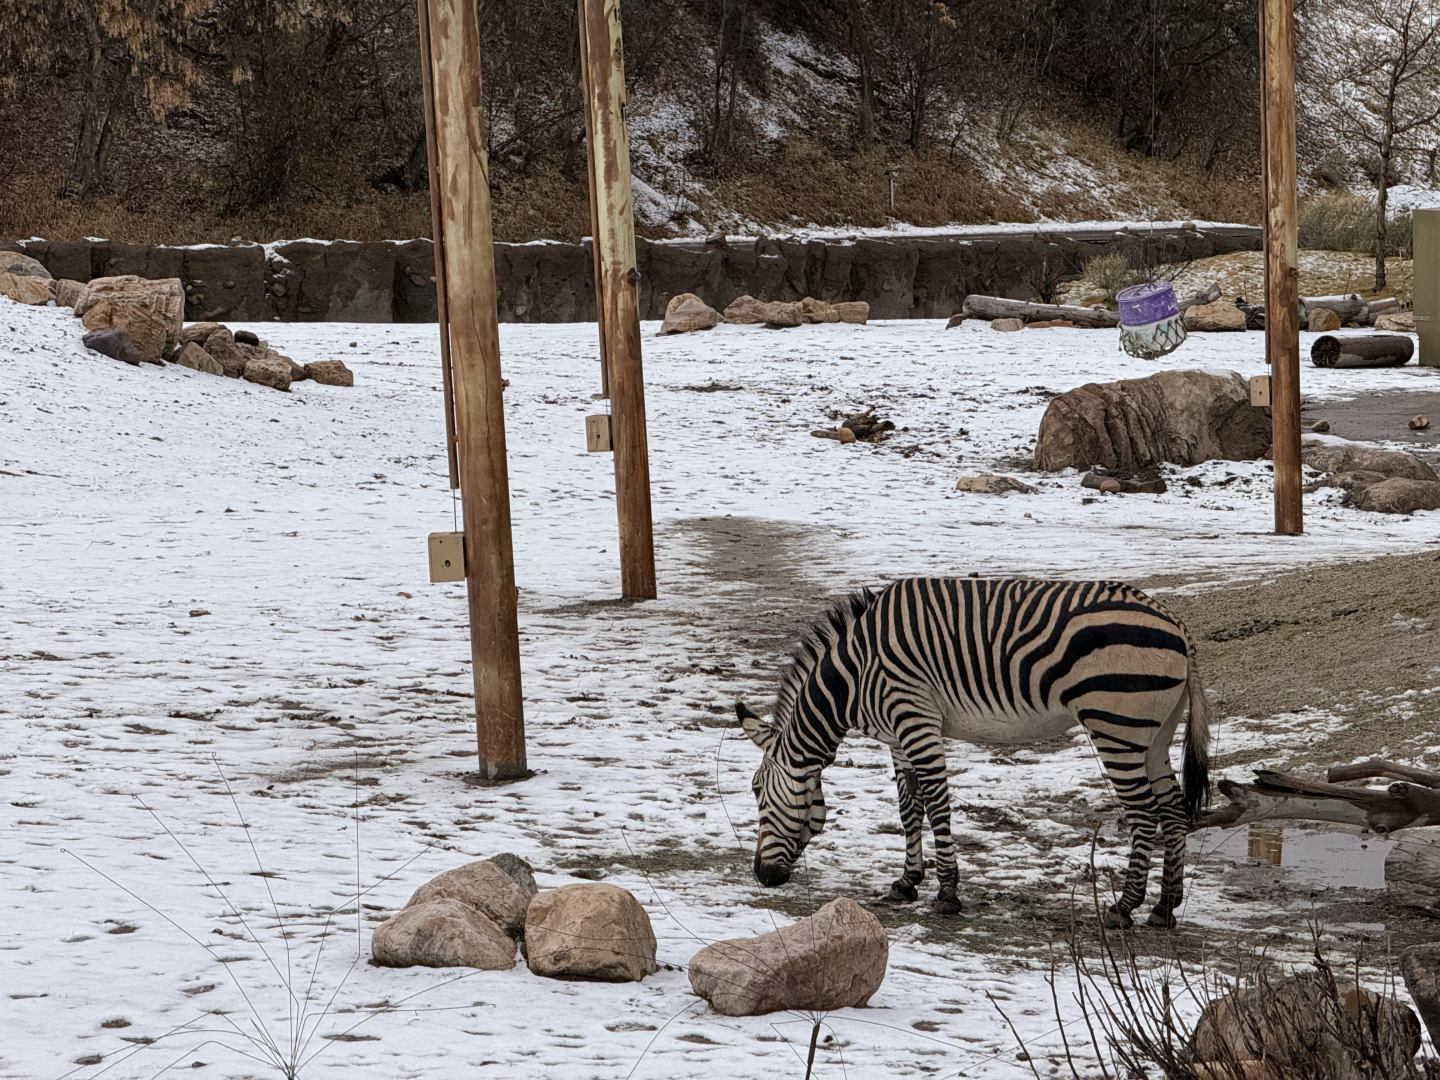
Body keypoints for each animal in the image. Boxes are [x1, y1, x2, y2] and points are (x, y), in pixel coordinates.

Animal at [736, 577, 1210, 929]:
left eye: (756, 791)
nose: (762, 876)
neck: (856, 674)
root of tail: (1178, 624)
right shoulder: (896, 737)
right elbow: (909, 808)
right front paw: (907, 882)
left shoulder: (916, 719)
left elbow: (937, 805)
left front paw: (947, 894)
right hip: (1156, 733)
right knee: (1172, 809)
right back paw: (1164, 908)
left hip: (1116, 725)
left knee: (1144, 813)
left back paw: (1124, 908)